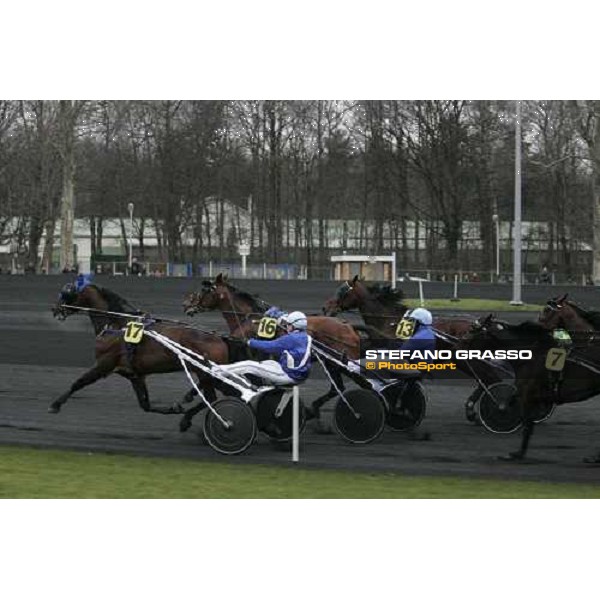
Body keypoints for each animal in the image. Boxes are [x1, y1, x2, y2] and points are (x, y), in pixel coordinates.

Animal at [50, 282, 233, 432]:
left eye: (65, 293)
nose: (55, 309)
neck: (116, 326)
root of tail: (219, 338)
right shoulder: (134, 375)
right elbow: (145, 405)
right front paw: (173, 408)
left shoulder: (104, 364)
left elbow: (79, 382)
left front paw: (55, 404)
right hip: (209, 375)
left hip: (205, 373)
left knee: (212, 398)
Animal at [460, 316, 600, 462]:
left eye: (473, 329)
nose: (459, 345)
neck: (532, 355)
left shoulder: (527, 394)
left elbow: (527, 424)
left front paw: (517, 454)